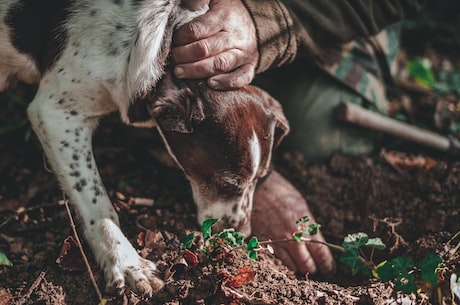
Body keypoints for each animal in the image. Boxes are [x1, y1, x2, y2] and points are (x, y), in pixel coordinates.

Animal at [0, 0, 288, 296]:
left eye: (261, 179)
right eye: (227, 184)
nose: (241, 234)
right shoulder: (56, 113)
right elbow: (97, 203)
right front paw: (126, 263)